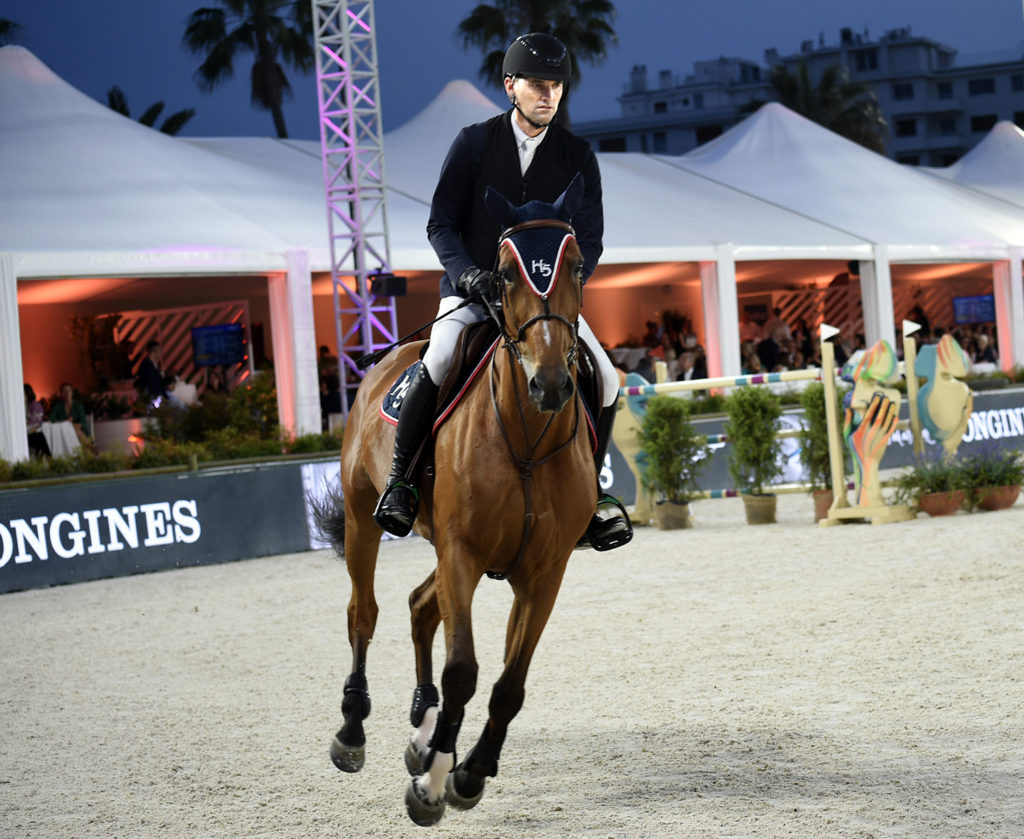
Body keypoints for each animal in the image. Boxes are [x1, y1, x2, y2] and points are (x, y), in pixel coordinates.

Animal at [315, 174, 598, 823]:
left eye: (575, 266)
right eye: (505, 273)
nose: (551, 385)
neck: (526, 439)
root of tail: (387, 357)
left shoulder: (543, 573)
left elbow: (509, 685)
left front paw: (467, 773)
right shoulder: (463, 554)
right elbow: (464, 671)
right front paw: (434, 784)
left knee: (421, 606)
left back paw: (422, 733)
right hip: (367, 521)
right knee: (364, 613)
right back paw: (354, 731)